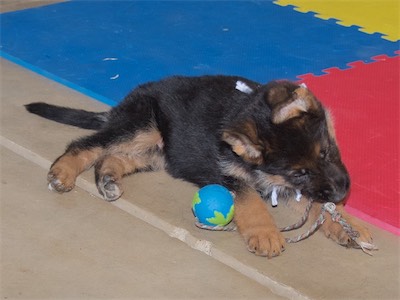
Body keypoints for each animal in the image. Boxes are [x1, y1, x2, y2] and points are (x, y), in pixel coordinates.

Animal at [25, 75, 372, 258]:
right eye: (299, 171)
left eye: (326, 152)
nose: (343, 192)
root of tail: (120, 107)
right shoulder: (229, 175)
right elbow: (251, 199)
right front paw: (265, 232)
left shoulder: (287, 184)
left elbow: (315, 203)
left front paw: (346, 224)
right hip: (142, 126)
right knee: (87, 144)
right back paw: (63, 172)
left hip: (156, 150)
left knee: (113, 157)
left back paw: (108, 177)